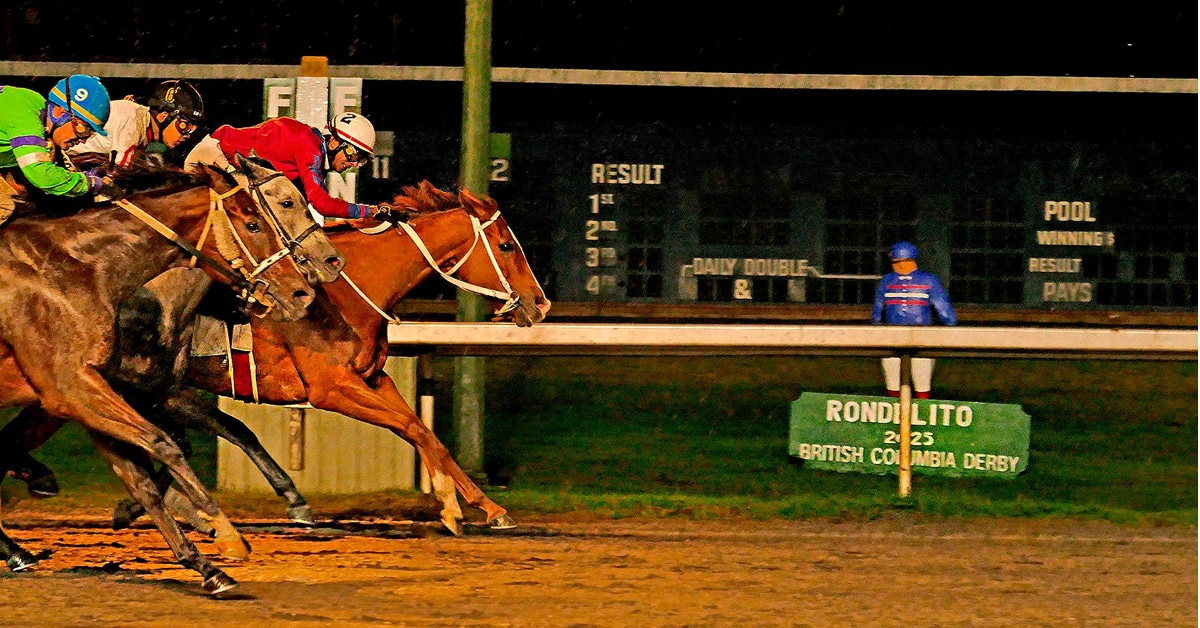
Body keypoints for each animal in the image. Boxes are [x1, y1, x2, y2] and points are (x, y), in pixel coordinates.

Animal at [0, 158, 332, 595]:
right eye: (257, 222)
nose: (303, 290)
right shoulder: (73, 390)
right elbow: (165, 445)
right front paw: (225, 532)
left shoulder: (104, 391)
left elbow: (147, 472)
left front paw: (208, 566)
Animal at [7, 180, 550, 537]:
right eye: (506, 245)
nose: (540, 304)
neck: (346, 289)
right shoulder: (331, 390)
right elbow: (414, 428)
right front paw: (452, 507)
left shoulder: (374, 379)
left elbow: (424, 431)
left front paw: (486, 505)